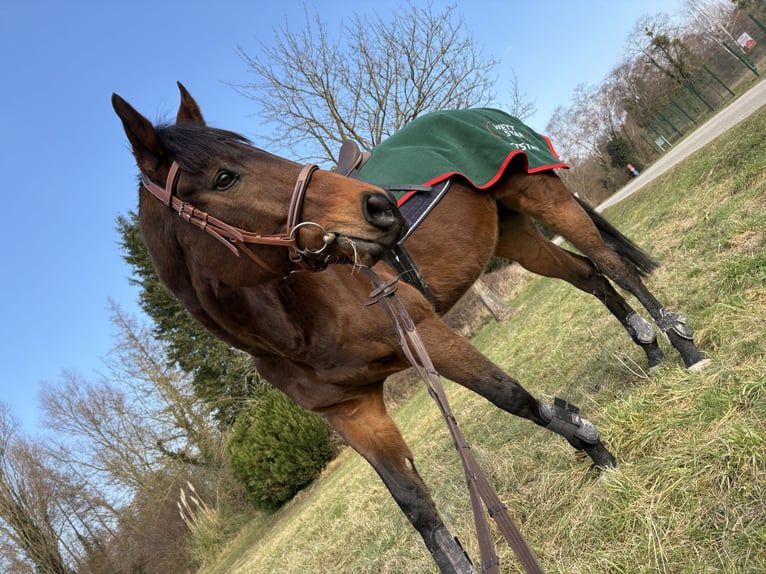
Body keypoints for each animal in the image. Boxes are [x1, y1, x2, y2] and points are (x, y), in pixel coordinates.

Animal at [112, 83, 704, 572]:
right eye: (224, 177)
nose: (379, 208)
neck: (293, 314)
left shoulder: (426, 334)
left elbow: (515, 398)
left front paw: (594, 449)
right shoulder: (353, 414)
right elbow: (417, 509)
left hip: (543, 199)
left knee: (614, 266)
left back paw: (683, 349)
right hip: (516, 237)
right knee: (590, 276)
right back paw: (651, 354)